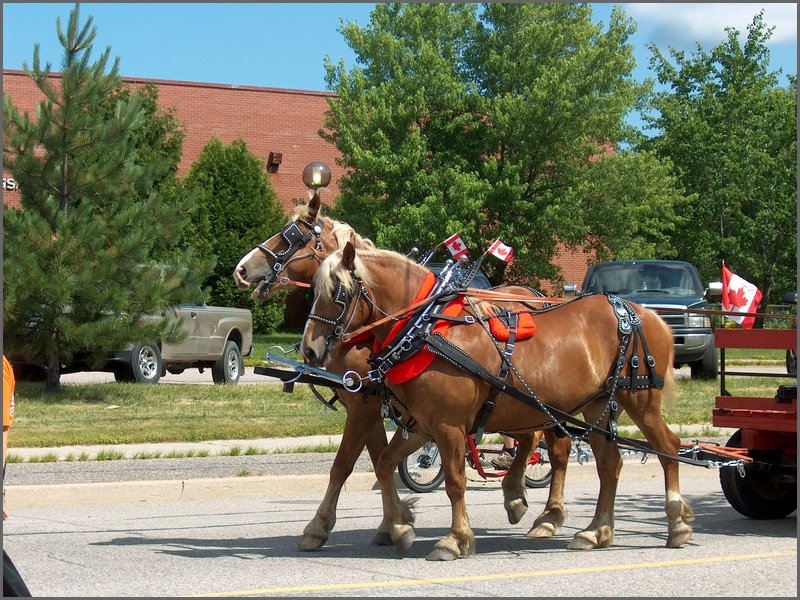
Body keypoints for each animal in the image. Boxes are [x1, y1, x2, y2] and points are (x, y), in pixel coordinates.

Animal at [231, 196, 576, 548]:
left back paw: (546, 515)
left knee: (555, 448)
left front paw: (322, 526)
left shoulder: (366, 405)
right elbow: (380, 459)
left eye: (290, 236)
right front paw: (394, 522)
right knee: (532, 438)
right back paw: (519, 497)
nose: (241, 270)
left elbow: (344, 465)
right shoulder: (377, 405)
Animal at [300, 241, 692, 560]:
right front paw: (398, 526)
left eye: (337, 292)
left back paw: (675, 522)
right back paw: (594, 531)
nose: (310, 350)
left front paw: (455, 539)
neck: (422, 328)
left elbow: (453, 481)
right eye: (312, 291)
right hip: (594, 405)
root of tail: (647, 313)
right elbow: (383, 464)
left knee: (667, 448)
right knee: (608, 463)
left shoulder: (445, 424)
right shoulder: (421, 424)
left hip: (639, 399)